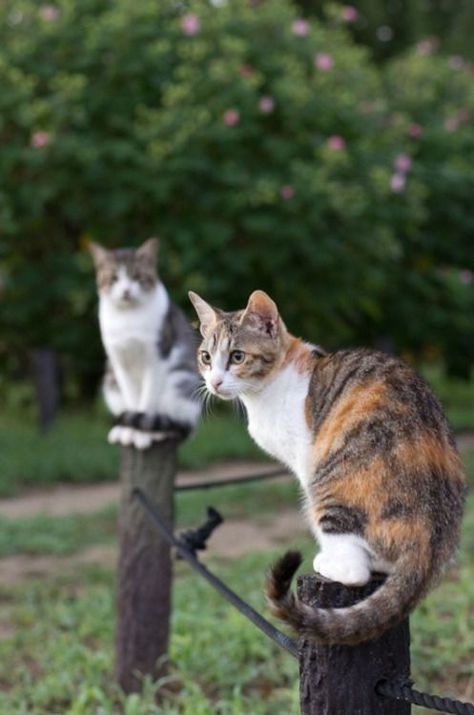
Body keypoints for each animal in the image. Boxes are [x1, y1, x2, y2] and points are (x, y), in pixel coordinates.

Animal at [90, 238, 201, 450]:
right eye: (114, 278)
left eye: (137, 276)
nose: (126, 290)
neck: (128, 318)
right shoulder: (119, 363)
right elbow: (132, 399)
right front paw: (130, 432)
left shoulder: (157, 358)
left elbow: (147, 400)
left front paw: (140, 435)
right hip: (110, 380)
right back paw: (121, 430)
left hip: (179, 381)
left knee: (179, 426)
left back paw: (159, 431)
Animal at [188, 288, 462, 648]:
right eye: (206, 357)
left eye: (237, 356)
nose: (216, 382)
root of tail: (429, 540)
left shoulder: (307, 457)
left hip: (330, 483)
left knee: (355, 568)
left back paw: (330, 561)